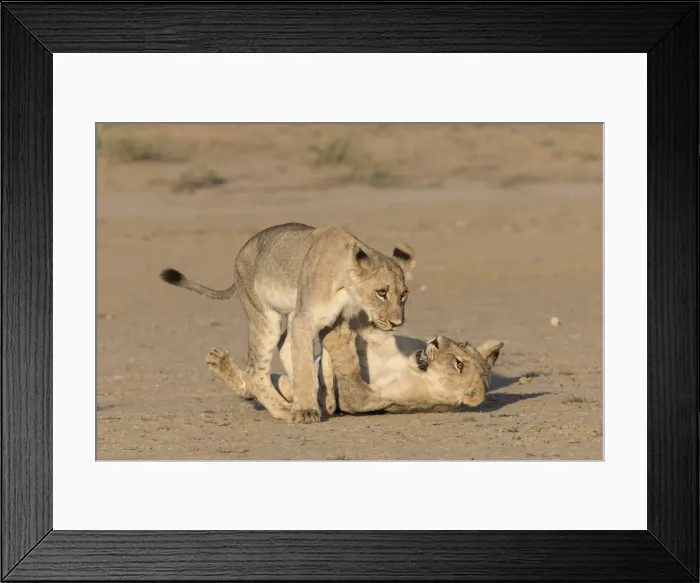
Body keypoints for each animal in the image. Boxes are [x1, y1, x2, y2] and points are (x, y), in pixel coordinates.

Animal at [159, 222, 415, 424]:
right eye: (381, 292)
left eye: (404, 295)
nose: (396, 323)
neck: (347, 286)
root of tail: (241, 251)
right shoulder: (306, 318)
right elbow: (305, 365)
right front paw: (305, 411)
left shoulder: (333, 321)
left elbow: (327, 360)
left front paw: (327, 399)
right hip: (264, 315)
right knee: (256, 372)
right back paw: (285, 409)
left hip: (291, 311)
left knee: (285, 343)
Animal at [206, 317, 504, 416]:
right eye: (461, 344)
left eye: (458, 364)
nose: (437, 340)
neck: (411, 368)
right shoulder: (376, 336)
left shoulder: (363, 401)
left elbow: (347, 371)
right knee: (257, 382)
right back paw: (220, 363)